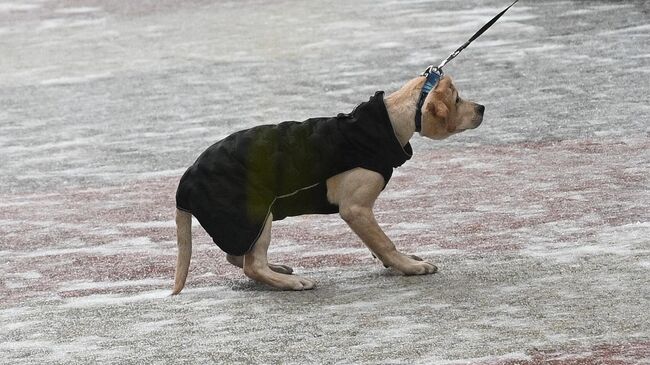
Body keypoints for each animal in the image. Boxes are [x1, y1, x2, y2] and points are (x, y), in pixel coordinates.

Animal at [170, 74, 484, 292]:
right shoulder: (355, 208)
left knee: (237, 257)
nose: (482, 108)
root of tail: (186, 182)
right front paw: (409, 266)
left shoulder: (362, 215)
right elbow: (385, 242)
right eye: (457, 100)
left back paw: (278, 268)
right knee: (251, 265)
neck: (389, 122)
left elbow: (376, 241)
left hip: (250, 222)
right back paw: (290, 283)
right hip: (255, 214)